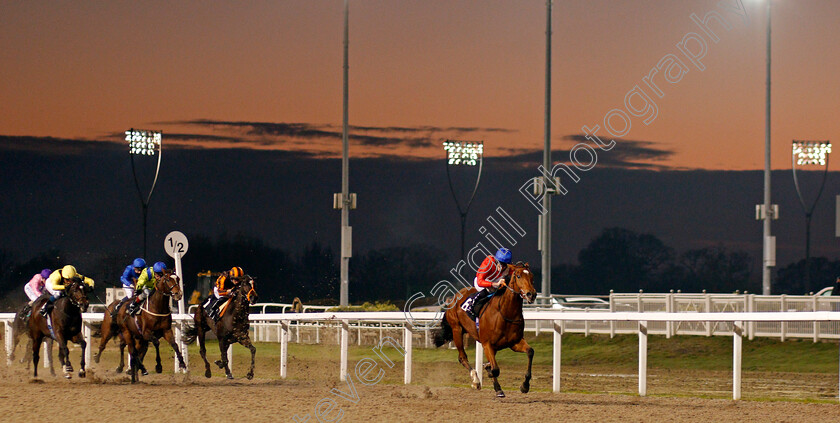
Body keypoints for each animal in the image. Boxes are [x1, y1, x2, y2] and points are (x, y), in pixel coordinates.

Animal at [436, 247, 536, 400]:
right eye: (518, 276)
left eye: (532, 276)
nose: (532, 294)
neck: (505, 313)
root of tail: (455, 296)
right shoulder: (487, 343)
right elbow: (495, 369)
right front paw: (497, 388)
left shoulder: (514, 342)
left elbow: (530, 352)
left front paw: (525, 386)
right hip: (457, 330)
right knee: (462, 357)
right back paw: (476, 380)